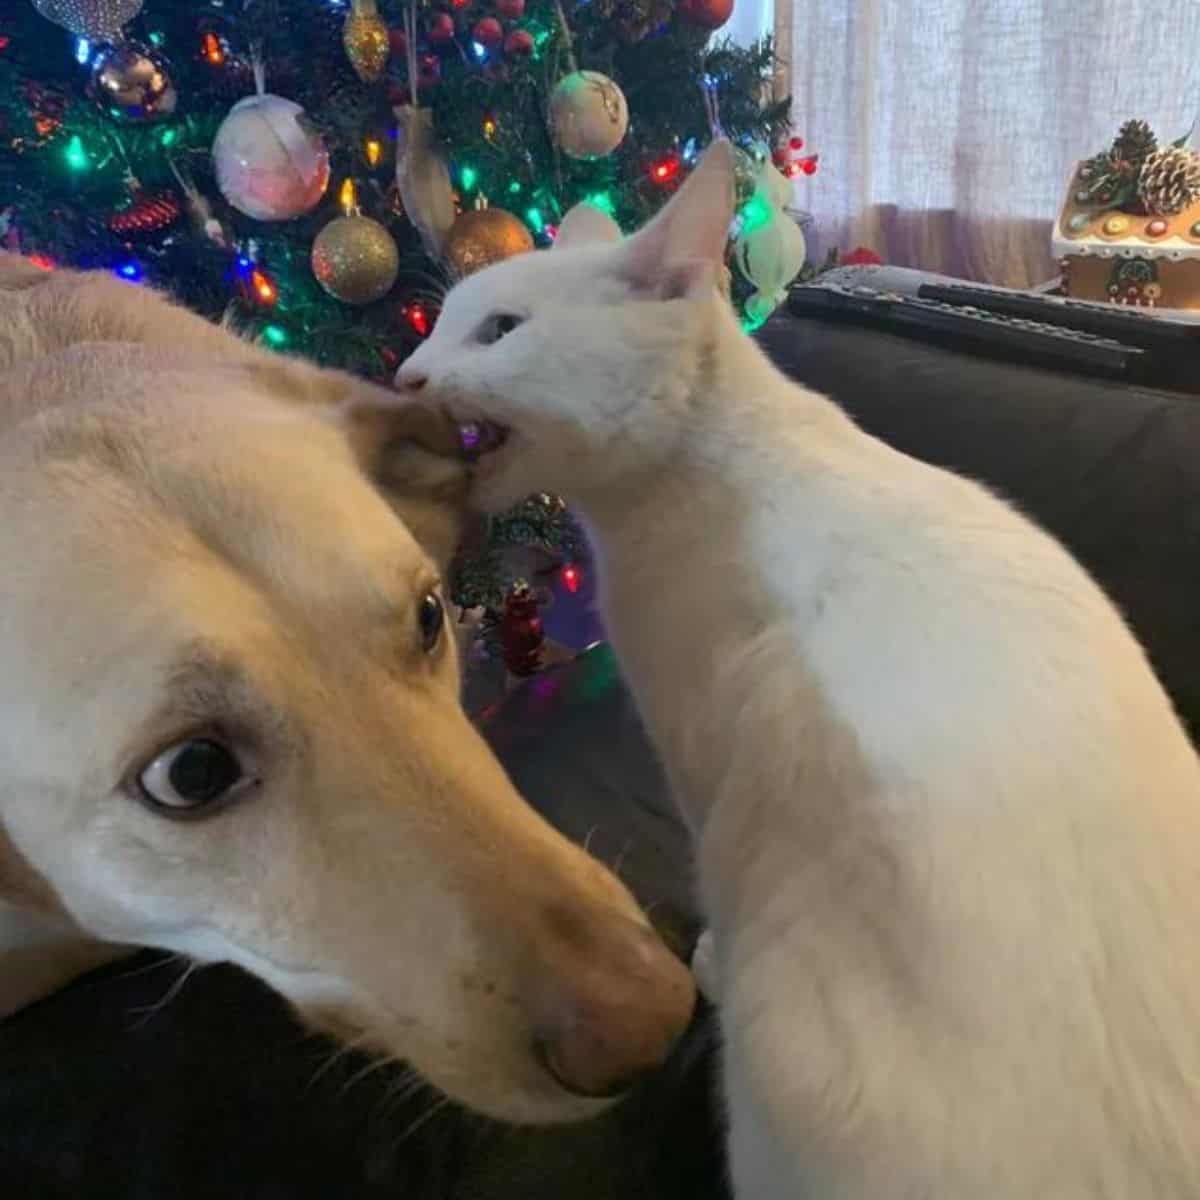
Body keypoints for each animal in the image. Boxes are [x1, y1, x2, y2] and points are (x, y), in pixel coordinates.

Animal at [398, 142, 1200, 1200]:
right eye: (439, 324)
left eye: (497, 331)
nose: (404, 374)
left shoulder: (700, 751)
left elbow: (709, 879)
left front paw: (707, 957)